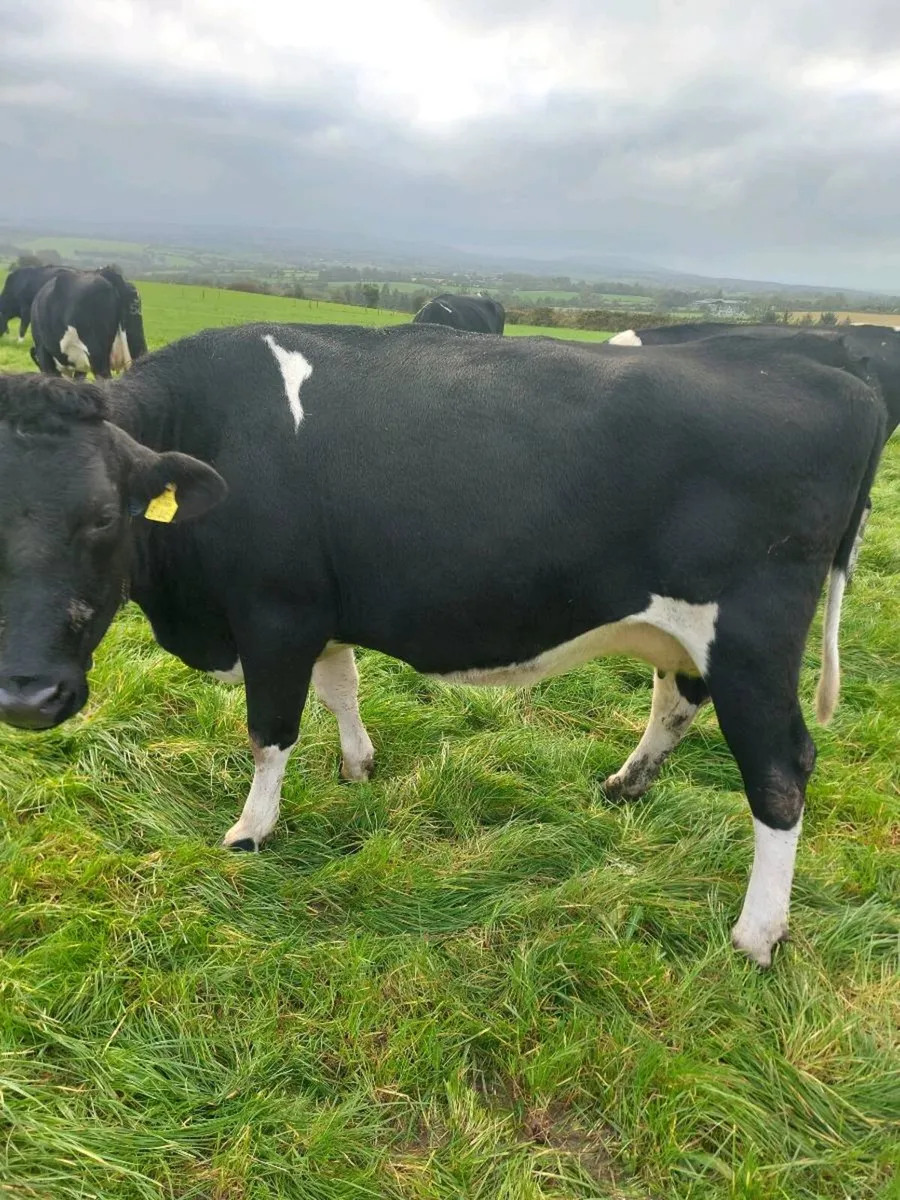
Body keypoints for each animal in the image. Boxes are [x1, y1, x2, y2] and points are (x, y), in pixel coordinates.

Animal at [0, 324, 885, 968]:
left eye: (103, 517)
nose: (27, 695)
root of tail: (839, 381)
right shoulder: (320, 609)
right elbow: (342, 685)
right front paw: (358, 764)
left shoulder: (275, 613)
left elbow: (270, 731)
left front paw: (251, 831)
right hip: (689, 632)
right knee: (677, 701)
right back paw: (626, 784)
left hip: (753, 637)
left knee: (781, 768)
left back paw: (756, 934)